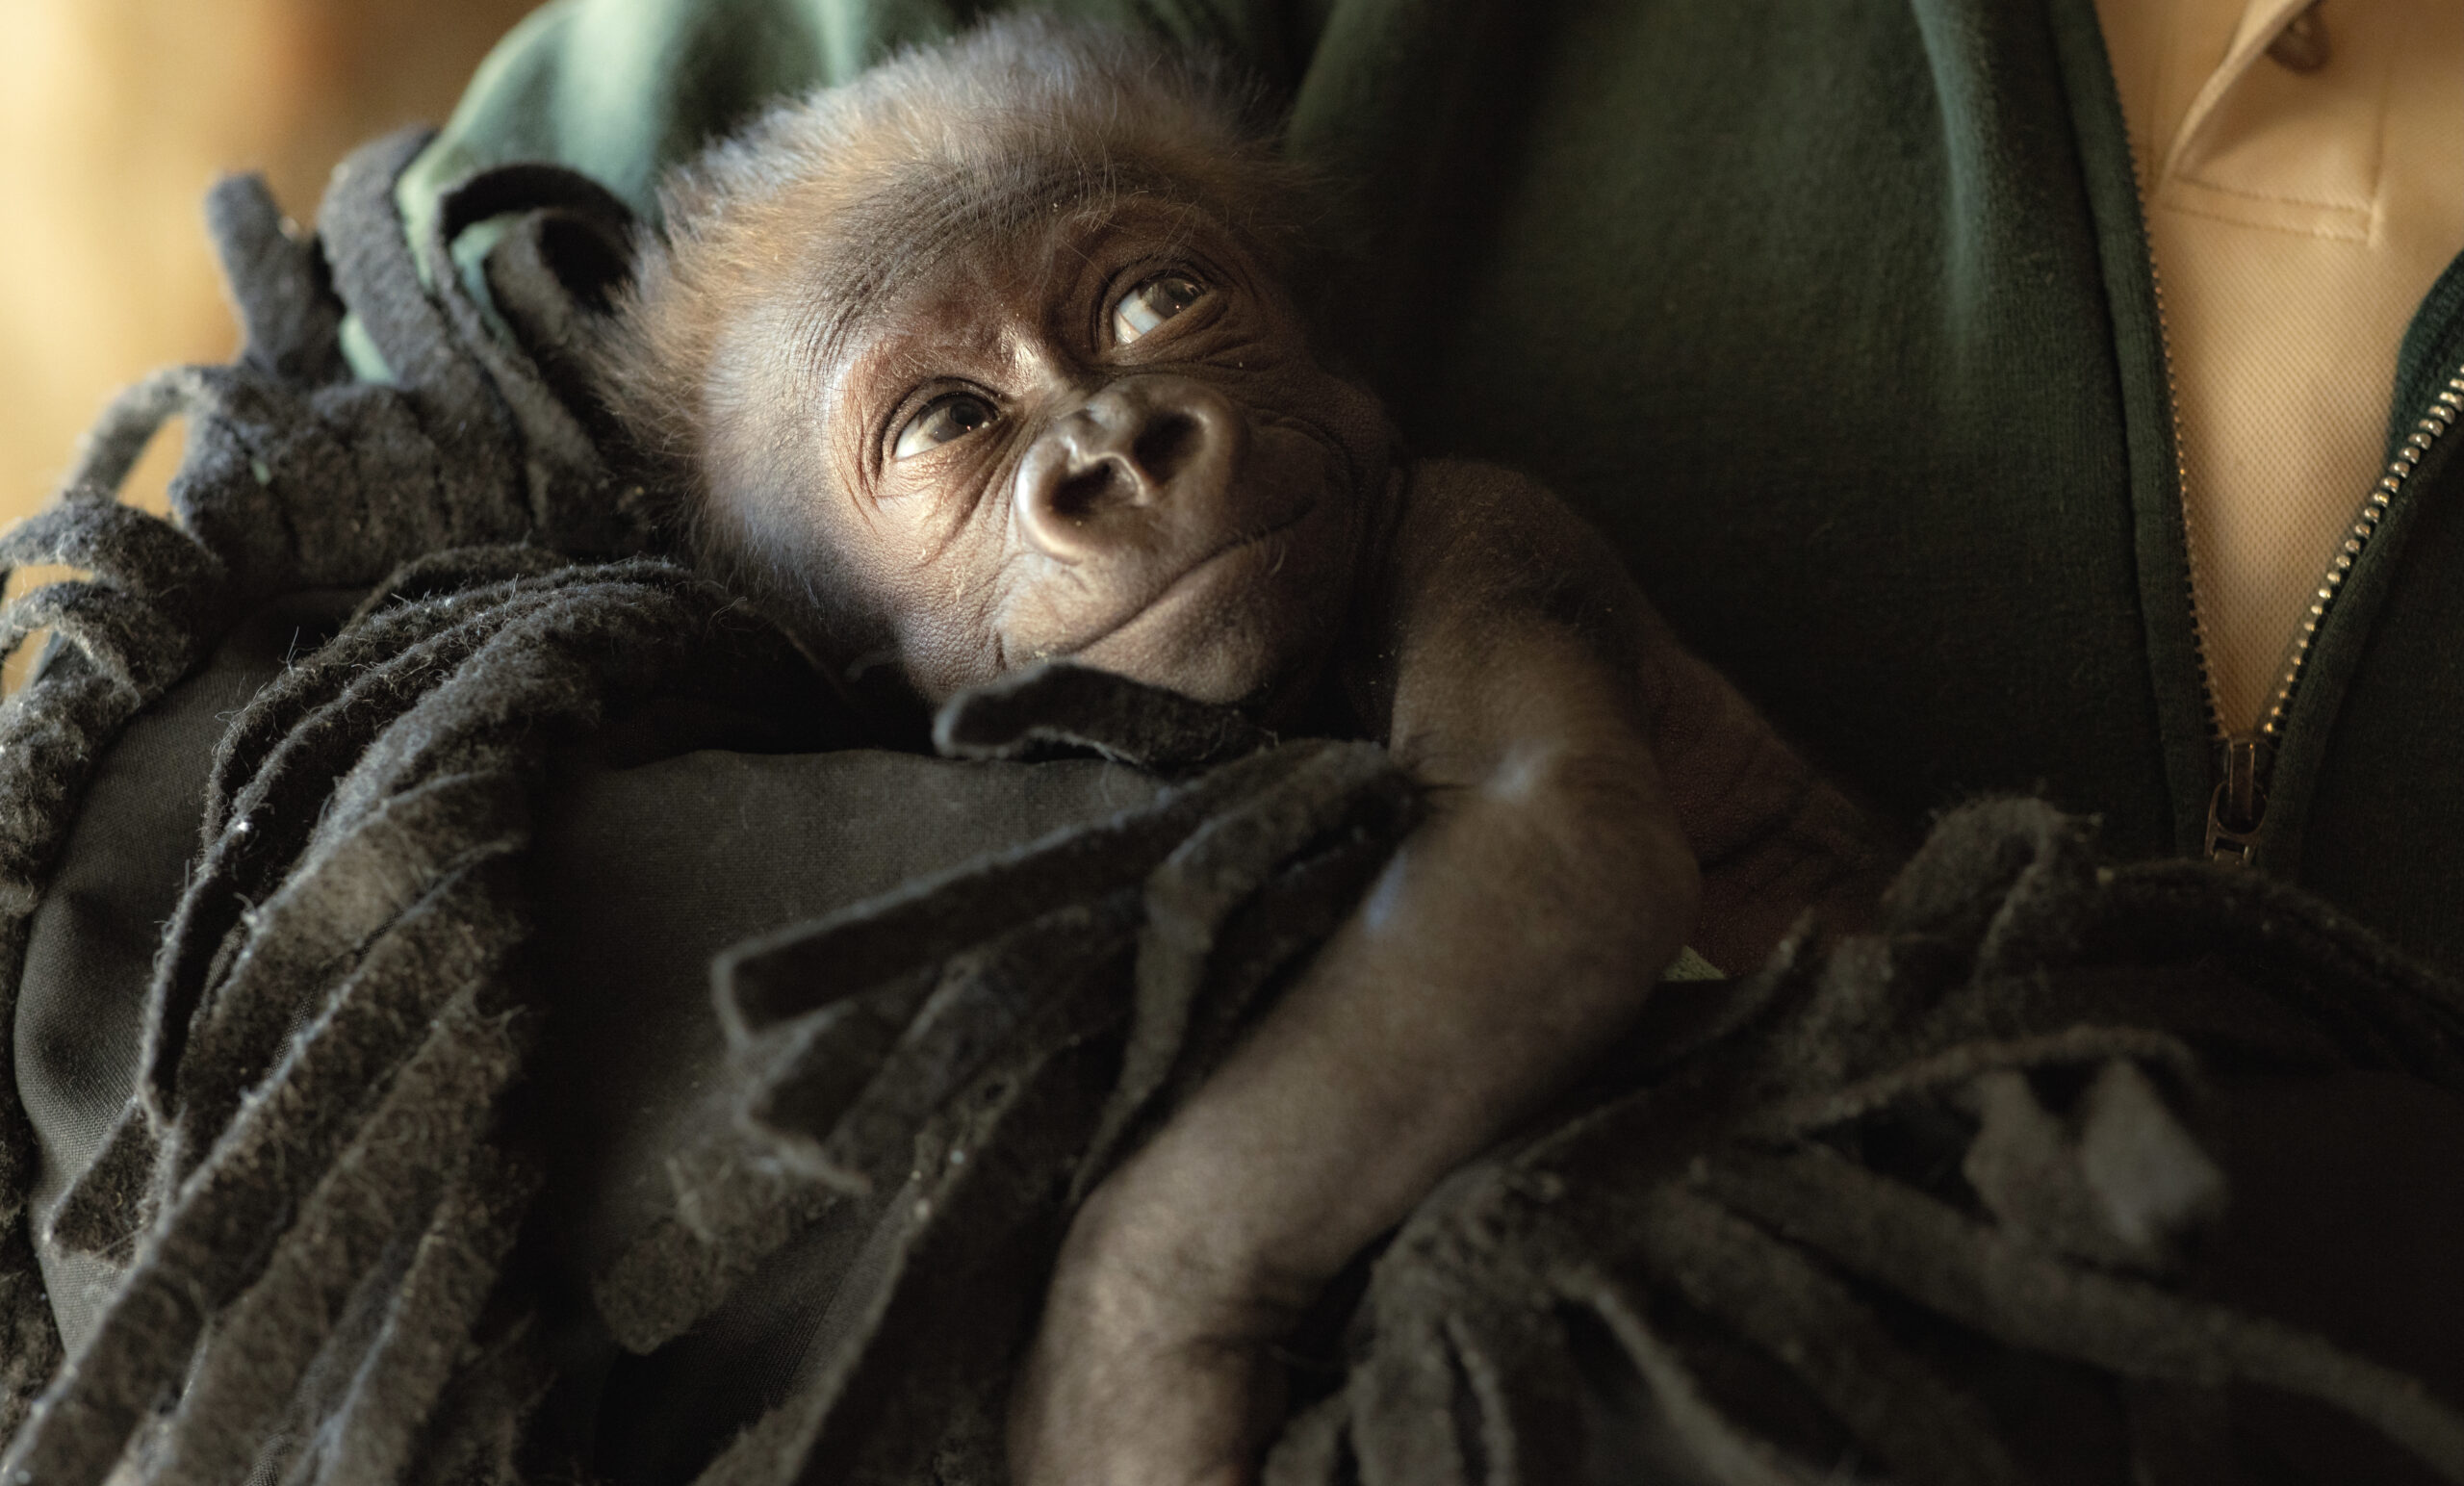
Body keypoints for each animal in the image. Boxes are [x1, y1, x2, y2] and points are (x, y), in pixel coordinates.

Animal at [589, 18, 1894, 1485]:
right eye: (947, 424)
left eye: (1155, 306)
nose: (1118, 448)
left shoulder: (1486, 522)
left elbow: (1550, 852)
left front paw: (1133, 1361)